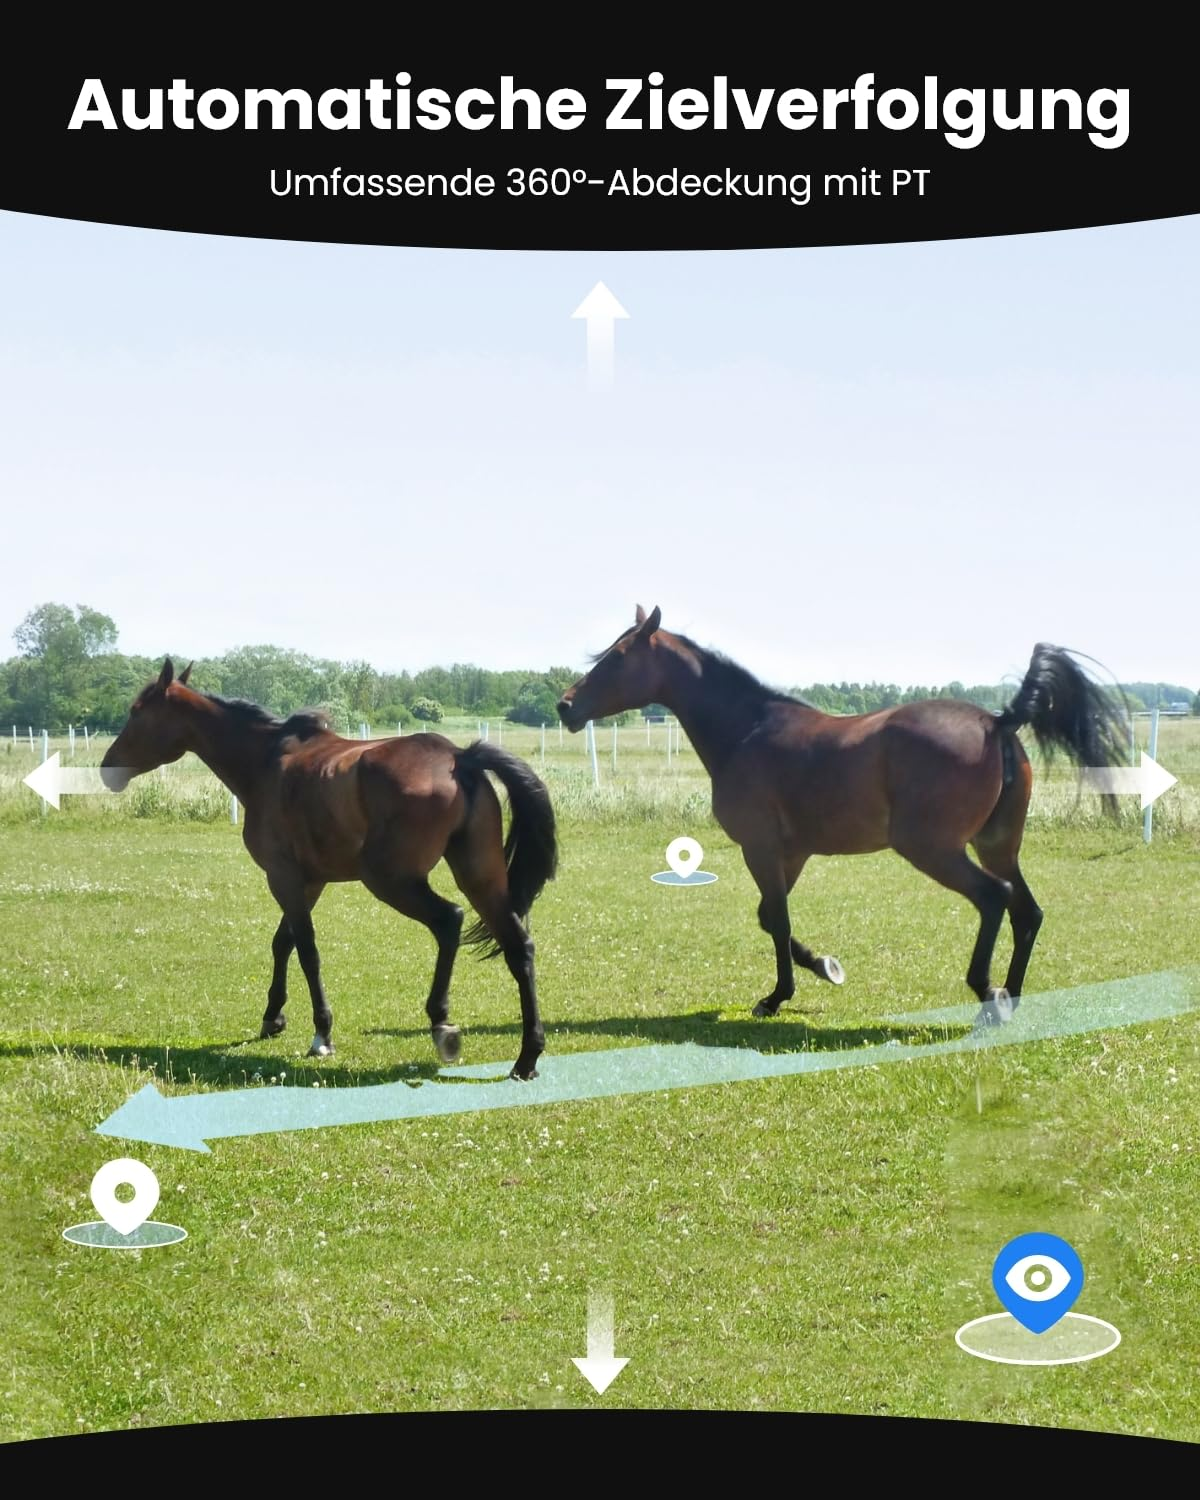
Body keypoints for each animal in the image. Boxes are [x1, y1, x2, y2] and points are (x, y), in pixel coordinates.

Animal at [101, 660, 558, 1079]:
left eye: (136, 711)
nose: (107, 768)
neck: (266, 763)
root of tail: (459, 758)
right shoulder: (310, 881)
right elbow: (282, 942)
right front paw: (273, 1016)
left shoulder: (283, 877)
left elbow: (306, 949)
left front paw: (321, 1032)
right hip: (479, 877)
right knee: (519, 947)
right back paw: (527, 1057)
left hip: (391, 880)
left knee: (450, 921)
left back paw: (442, 1023)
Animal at [557, 607, 1128, 1029]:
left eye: (617, 657)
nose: (565, 706)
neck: (747, 730)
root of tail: (997, 721)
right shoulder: (793, 852)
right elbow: (770, 918)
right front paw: (825, 968)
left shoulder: (760, 848)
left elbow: (777, 918)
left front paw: (777, 996)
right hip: (997, 846)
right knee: (1027, 911)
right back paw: (1012, 993)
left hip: (934, 849)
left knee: (994, 898)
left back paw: (989, 995)